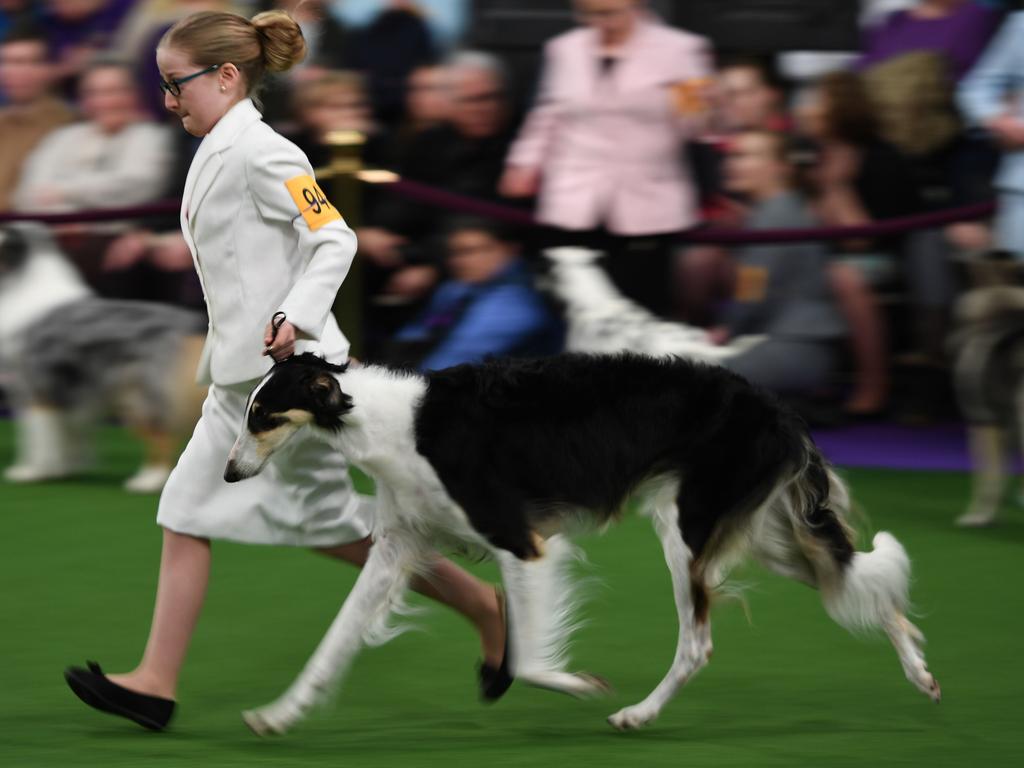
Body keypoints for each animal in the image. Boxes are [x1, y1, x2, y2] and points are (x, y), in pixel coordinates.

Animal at [0, 225, 207, 495]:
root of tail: (186, 324)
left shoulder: (37, 388)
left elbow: (38, 437)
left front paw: (31, 472)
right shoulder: (68, 393)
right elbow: (66, 436)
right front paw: (65, 469)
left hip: (140, 397)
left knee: (161, 437)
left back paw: (147, 481)